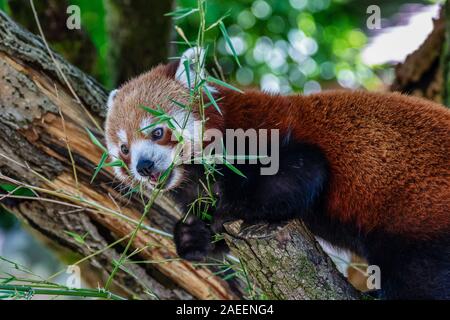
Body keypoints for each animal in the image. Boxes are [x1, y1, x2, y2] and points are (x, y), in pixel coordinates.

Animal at [105, 47, 450, 300]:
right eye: (124, 149)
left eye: (157, 132)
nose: (144, 166)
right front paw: (194, 235)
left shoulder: (263, 139)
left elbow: (300, 176)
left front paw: (228, 211)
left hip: (418, 218)